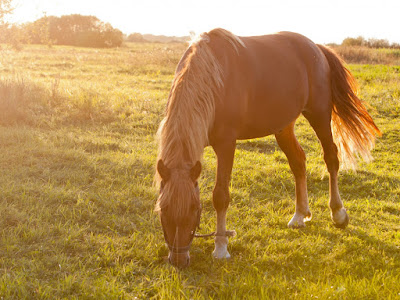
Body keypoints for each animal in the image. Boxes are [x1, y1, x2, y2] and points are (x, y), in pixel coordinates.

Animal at [155, 28, 380, 268]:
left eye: (194, 209)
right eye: (163, 209)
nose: (179, 259)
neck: (213, 80)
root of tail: (317, 48)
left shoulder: (226, 145)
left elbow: (220, 196)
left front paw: (221, 247)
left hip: (319, 115)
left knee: (331, 158)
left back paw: (338, 213)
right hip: (283, 127)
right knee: (298, 162)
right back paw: (299, 215)